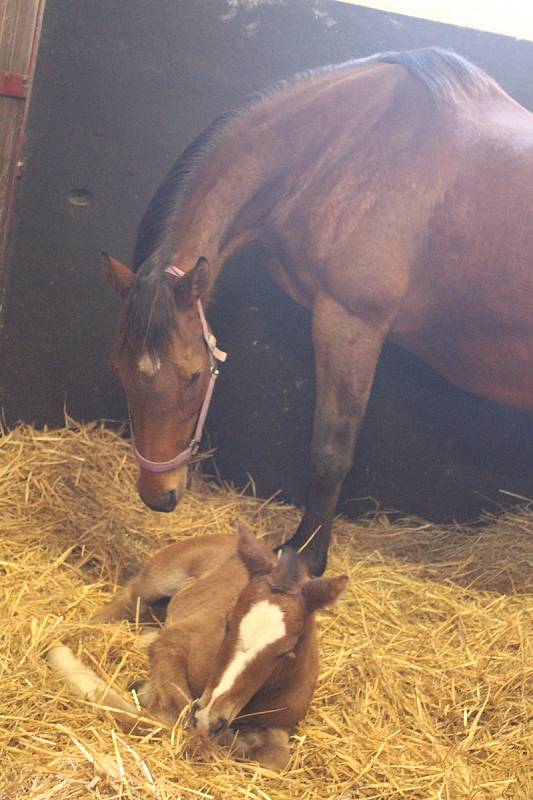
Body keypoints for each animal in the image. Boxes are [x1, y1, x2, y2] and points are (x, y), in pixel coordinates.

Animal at [45, 524, 344, 768]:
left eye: (285, 652)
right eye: (227, 622)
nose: (210, 717)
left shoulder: (282, 723)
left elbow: (274, 758)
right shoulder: (175, 643)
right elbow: (172, 714)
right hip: (160, 579)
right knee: (129, 599)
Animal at [103, 48, 532, 576]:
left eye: (193, 377)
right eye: (120, 370)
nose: (157, 495)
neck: (356, 144)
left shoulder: (349, 322)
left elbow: (331, 452)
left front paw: (305, 557)